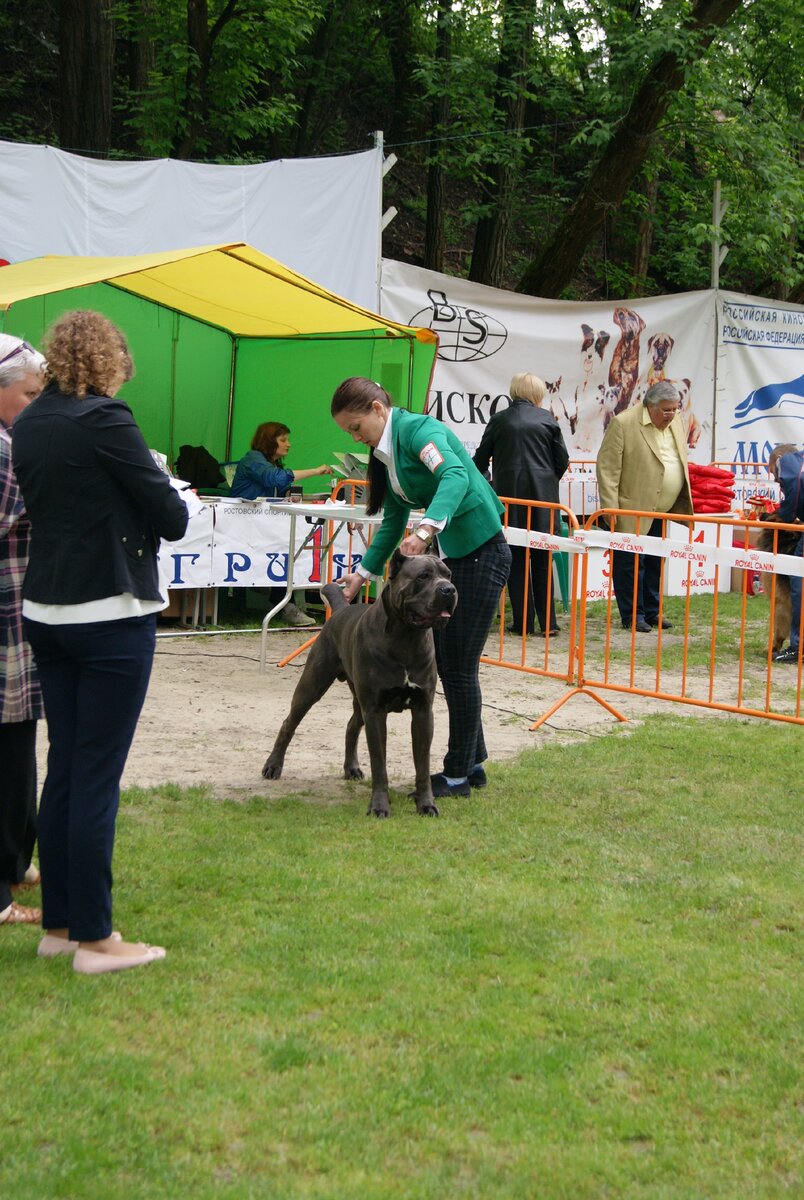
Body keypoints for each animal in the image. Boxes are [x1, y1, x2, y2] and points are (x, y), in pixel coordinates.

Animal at [264, 549, 460, 816]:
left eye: (448, 575)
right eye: (423, 576)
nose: (449, 589)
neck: (406, 637)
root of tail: (339, 610)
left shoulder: (422, 710)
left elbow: (422, 765)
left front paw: (426, 804)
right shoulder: (375, 711)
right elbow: (380, 764)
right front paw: (379, 806)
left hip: (359, 699)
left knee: (351, 724)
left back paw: (351, 767)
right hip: (313, 684)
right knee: (289, 723)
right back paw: (273, 766)